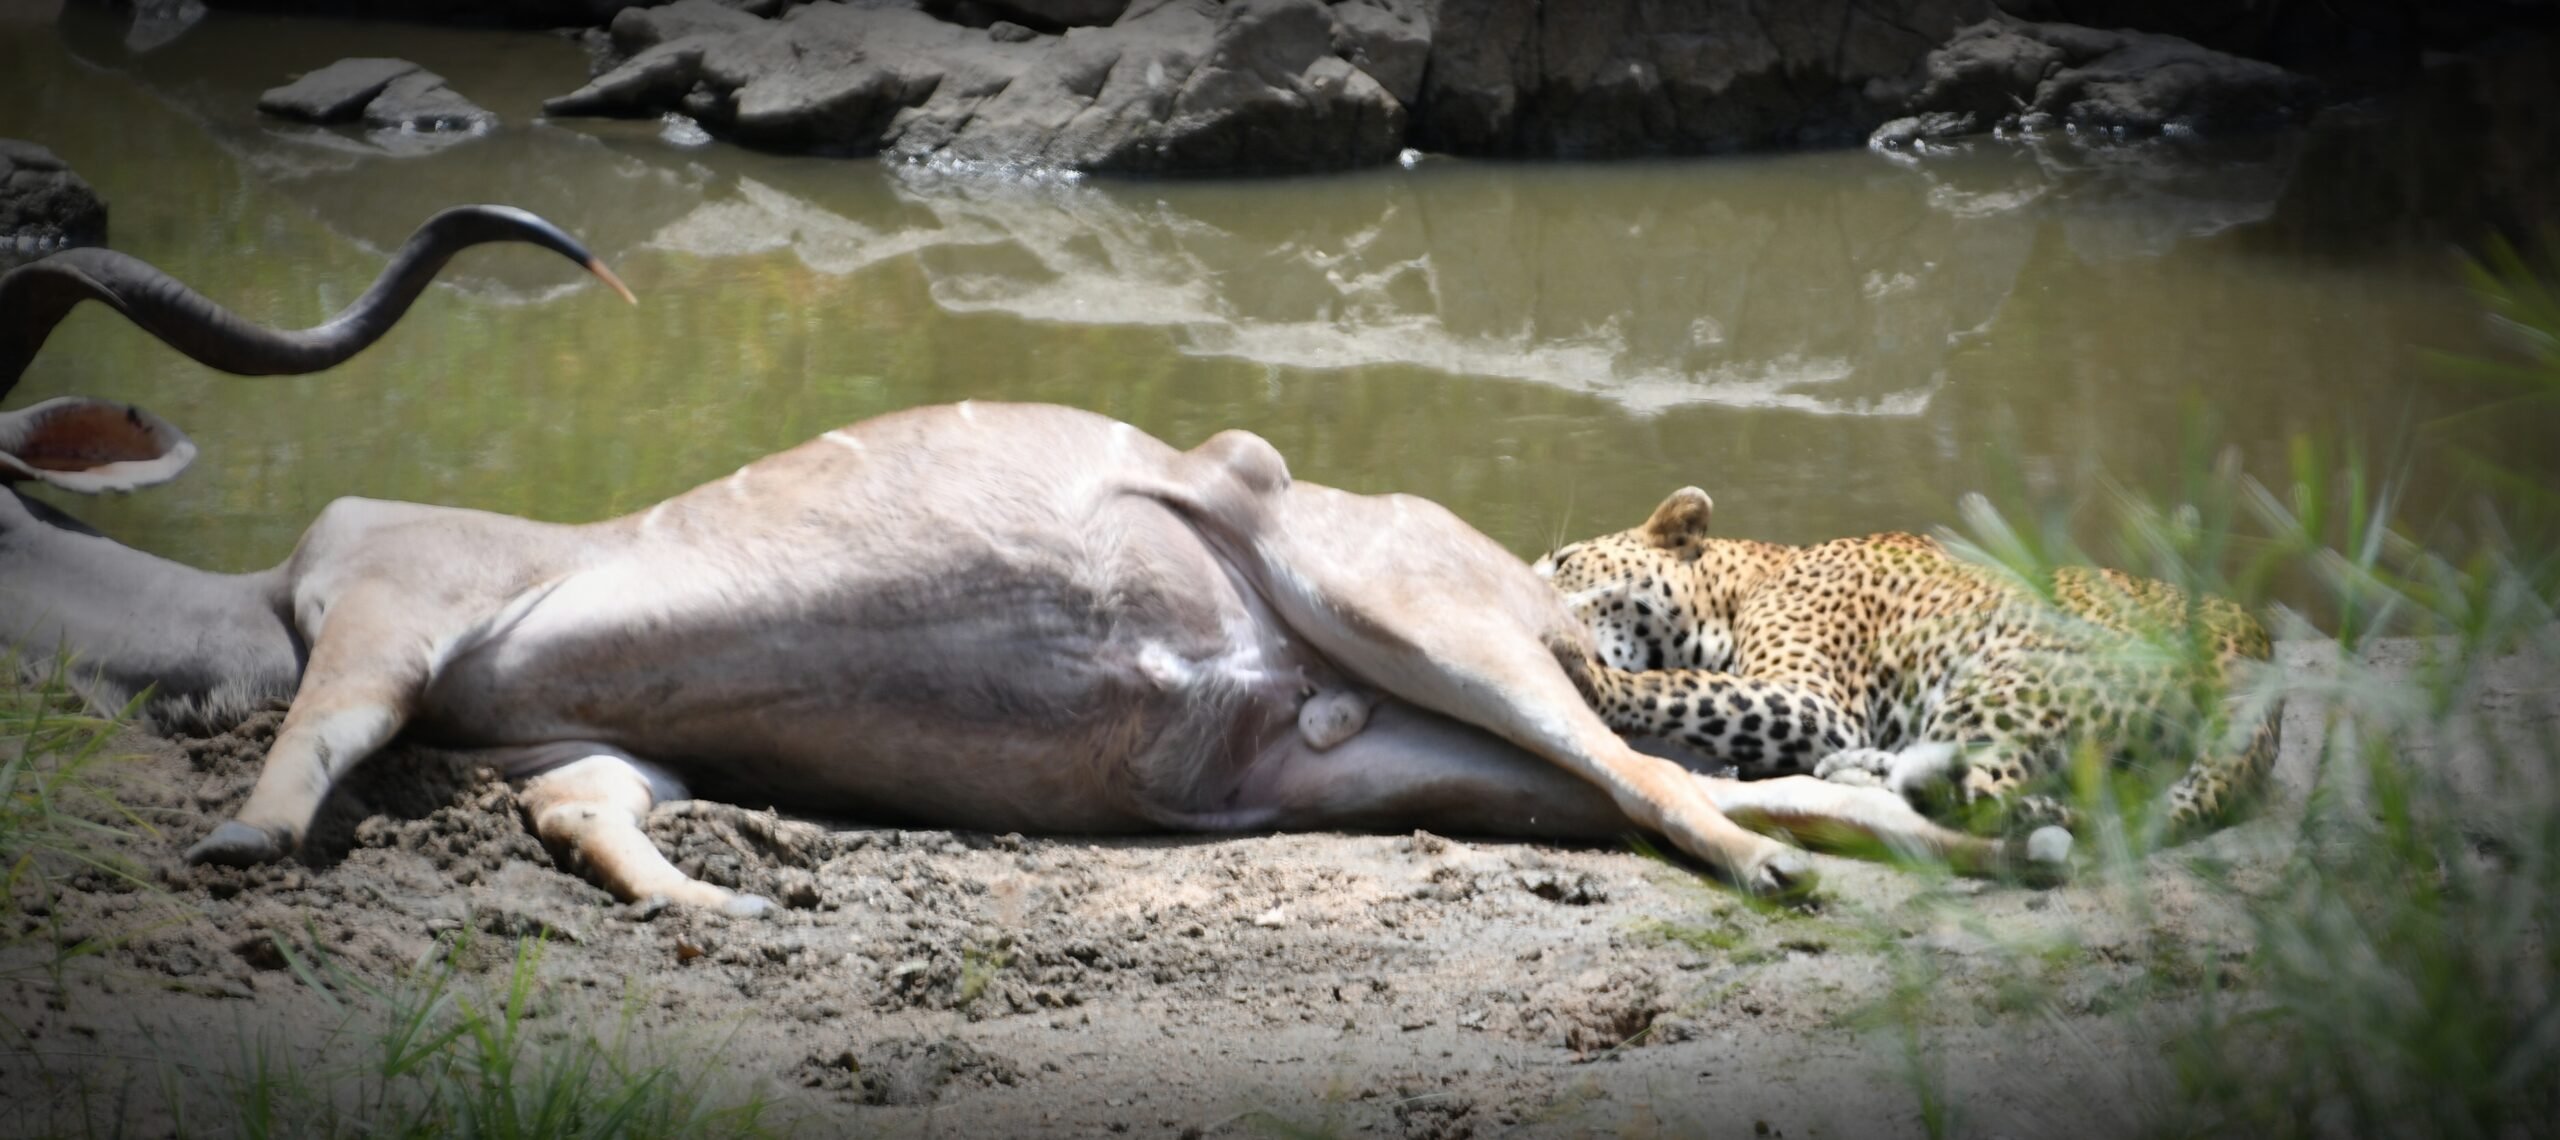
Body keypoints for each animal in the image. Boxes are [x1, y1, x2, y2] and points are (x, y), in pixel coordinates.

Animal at [1533, 486, 2279, 841]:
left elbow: (1682, 687)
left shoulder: (1815, 701)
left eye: (1564, 560)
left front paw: (1586, 673)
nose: (1530, 577)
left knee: (1978, 796)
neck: (1744, 581)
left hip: (2003, 679)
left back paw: (1857, 773)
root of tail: (2259, 675)